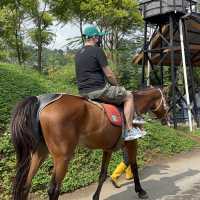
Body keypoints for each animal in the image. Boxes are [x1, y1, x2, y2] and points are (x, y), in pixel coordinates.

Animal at [10, 86, 169, 199]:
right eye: (167, 100)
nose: (166, 120)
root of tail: (41, 102)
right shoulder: (132, 143)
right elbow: (134, 165)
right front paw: (140, 191)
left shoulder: (108, 149)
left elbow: (102, 174)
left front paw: (96, 196)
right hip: (62, 157)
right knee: (53, 190)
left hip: (40, 152)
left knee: (25, 185)